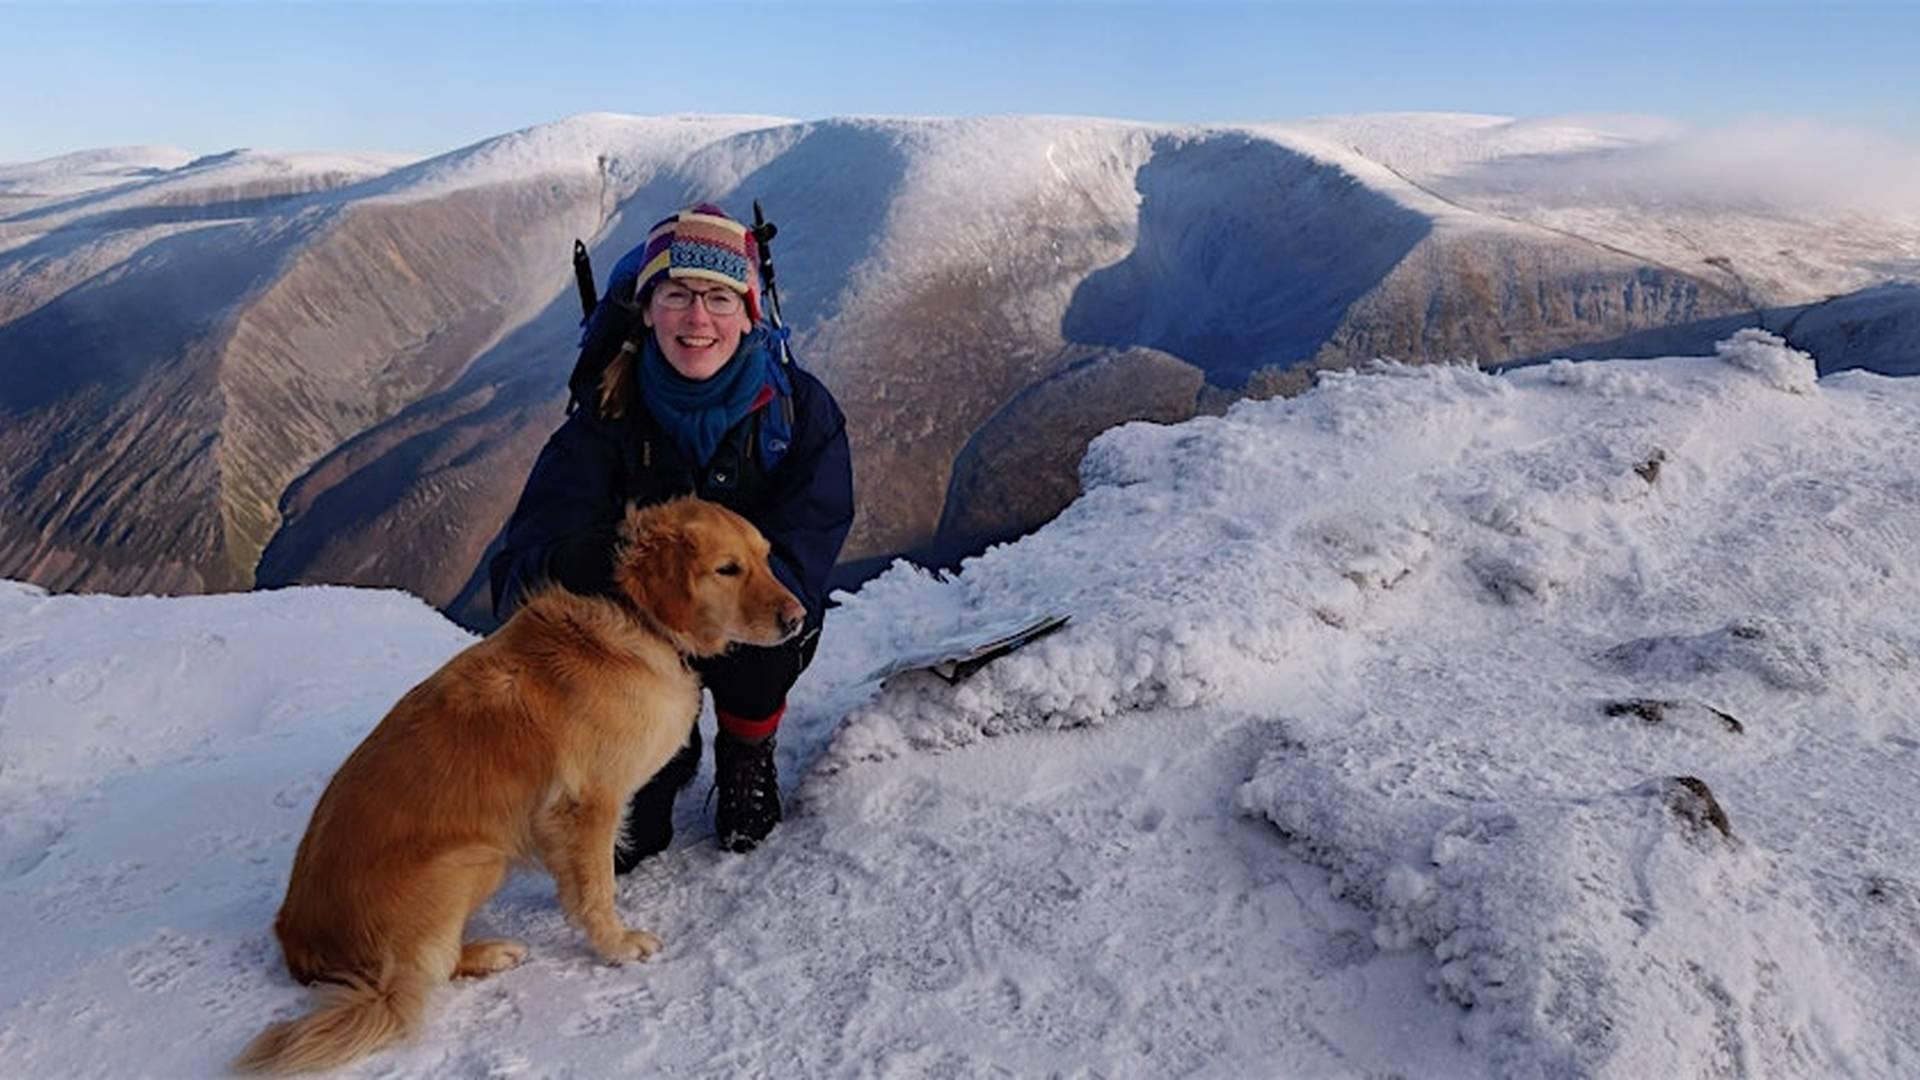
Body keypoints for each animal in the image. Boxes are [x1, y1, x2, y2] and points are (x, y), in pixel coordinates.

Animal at [236, 495, 806, 1068]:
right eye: (727, 569)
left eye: (766, 557)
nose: (798, 619)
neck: (637, 620)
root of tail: (297, 942)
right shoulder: (588, 804)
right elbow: (596, 889)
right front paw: (617, 946)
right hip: (472, 860)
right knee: (430, 968)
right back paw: (488, 953)